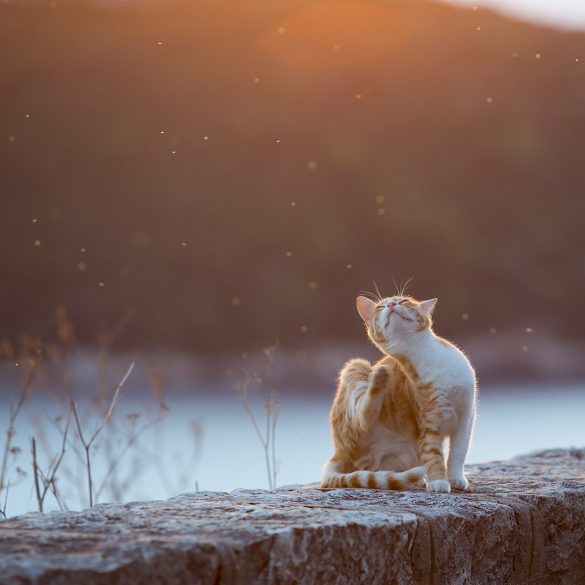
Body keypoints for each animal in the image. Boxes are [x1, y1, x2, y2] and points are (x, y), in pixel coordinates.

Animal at [322, 294, 476, 490]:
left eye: (403, 301)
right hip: (356, 366)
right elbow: (433, 455)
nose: (390, 304)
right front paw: (439, 481)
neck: (426, 356)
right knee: (363, 418)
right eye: (379, 307)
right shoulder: (427, 423)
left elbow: (458, 451)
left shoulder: (466, 415)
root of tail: (339, 452)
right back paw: (379, 378)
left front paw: (455, 478)